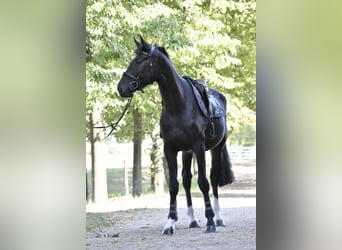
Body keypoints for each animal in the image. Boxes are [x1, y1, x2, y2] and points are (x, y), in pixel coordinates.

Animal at [116, 35, 234, 234]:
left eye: (139, 61)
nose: (121, 88)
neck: (179, 104)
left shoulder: (199, 147)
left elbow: (203, 182)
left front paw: (210, 220)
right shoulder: (170, 149)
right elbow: (173, 185)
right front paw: (170, 222)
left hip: (216, 148)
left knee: (213, 178)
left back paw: (218, 218)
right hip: (187, 152)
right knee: (186, 180)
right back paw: (192, 220)